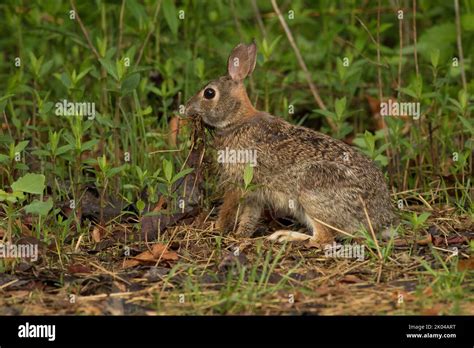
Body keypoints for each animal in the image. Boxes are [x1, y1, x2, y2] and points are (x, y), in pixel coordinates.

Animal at [185, 42, 396, 245]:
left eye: (209, 93)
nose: (186, 107)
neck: (237, 121)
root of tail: (381, 220)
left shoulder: (238, 181)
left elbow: (228, 208)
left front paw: (216, 228)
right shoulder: (255, 192)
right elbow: (249, 216)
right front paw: (240, 235)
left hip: (312, 192)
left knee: (323, 239)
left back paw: (284, 236)